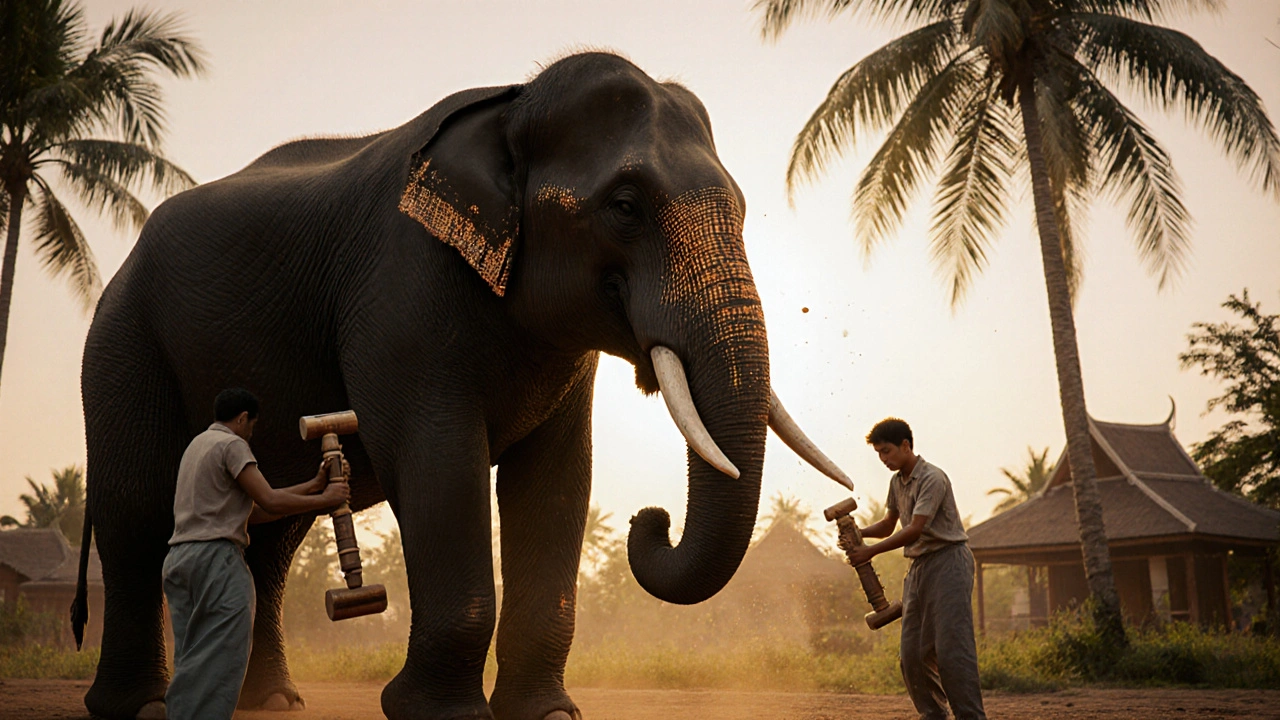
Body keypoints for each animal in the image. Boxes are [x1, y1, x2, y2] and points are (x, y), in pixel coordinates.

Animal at [75, 52, 851, 720]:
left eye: (742, 210)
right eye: (626, 205)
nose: (650, 520)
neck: (512, 102)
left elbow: (558, 478)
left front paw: (549, 715)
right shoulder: (398, 293)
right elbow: (438, 461)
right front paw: (440, 714)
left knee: (270, 534)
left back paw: (271, 702)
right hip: (121, 344)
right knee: (135, 510)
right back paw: (140, 706)